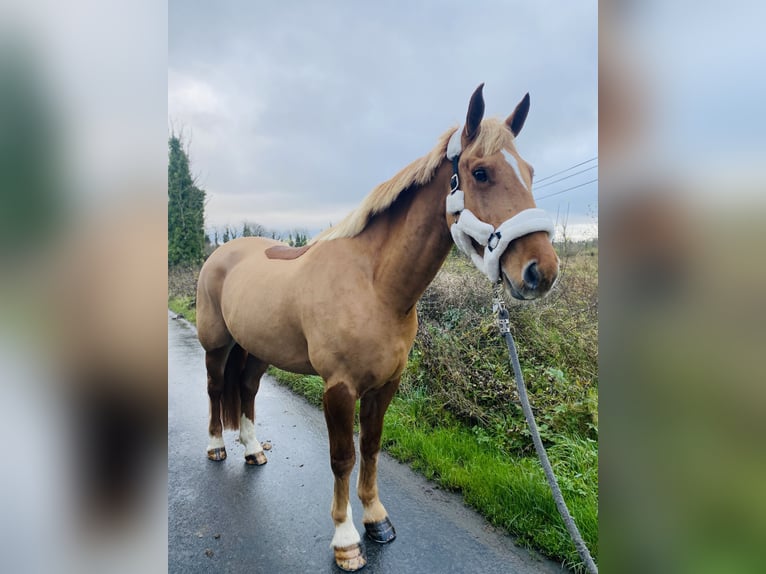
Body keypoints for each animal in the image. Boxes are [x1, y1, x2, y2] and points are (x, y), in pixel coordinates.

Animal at [195, 84, 560, 572]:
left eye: (530, 172)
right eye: (480, 172)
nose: (542, 271)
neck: (375, 286)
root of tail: (222, 254)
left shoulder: (386, 385)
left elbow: (370, 447)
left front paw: (376, 520)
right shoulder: (339, 388)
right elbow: (342, 457)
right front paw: (346, 540)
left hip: (256, 349)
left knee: (248, 389)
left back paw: (253, 450)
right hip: (217, 345)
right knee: (217, 389)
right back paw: (217, 446)